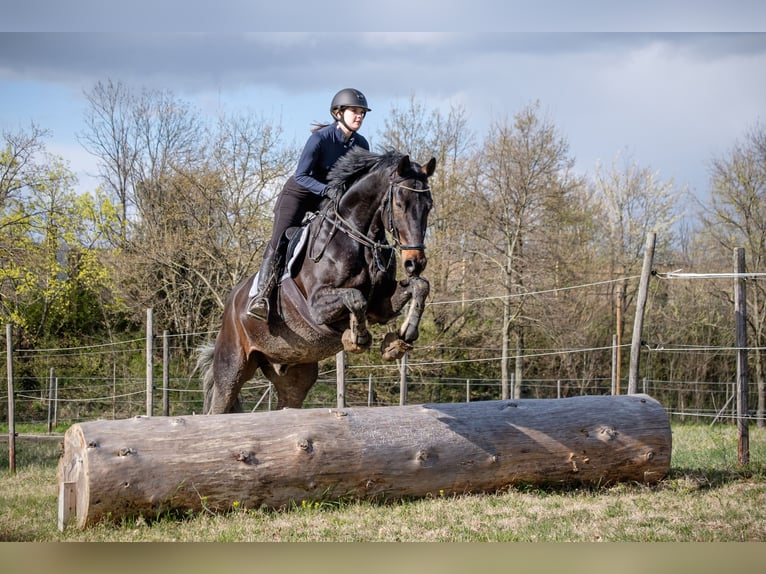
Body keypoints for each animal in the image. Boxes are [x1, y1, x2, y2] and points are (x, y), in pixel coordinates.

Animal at [196, 146, 438, 412]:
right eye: (399, 203)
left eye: (428, 206)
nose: (415, 262)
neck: (357, 239)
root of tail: (231, 303)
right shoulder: (317, 307)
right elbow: (356, 297)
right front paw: (357, 338)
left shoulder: (381, 306)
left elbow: (419, 286)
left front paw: (403, 336)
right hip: (232, 367)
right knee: (219, 403)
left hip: (293, 377)